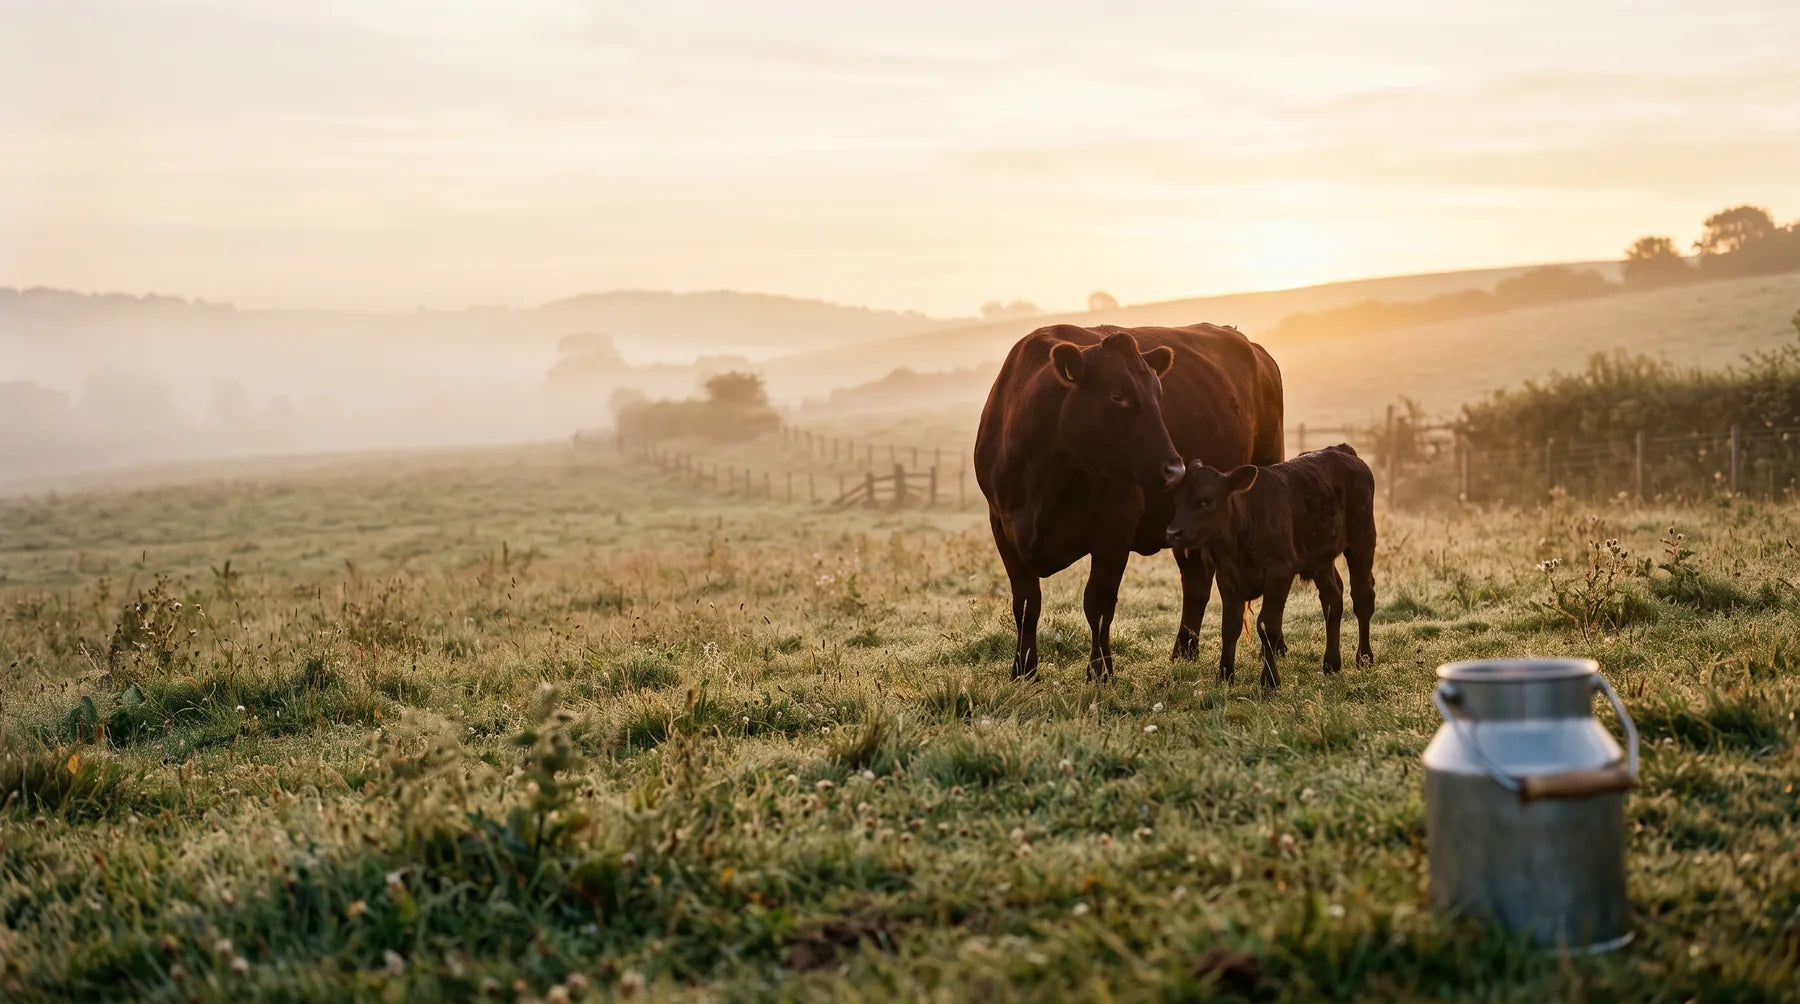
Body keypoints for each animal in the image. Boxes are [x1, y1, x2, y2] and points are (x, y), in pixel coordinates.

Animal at [974, 324, 1284, 680]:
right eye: (1116, 396)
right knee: (1195, 583)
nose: (1175, 469)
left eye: (1158, 396)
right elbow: (1026, 604)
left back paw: (1274, 646)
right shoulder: (1002, 528)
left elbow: (1098, 604)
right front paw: (1024, 671)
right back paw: (1183, 652)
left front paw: (1100, 672)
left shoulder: (1114, 532)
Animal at [1163, 444, 1376, 688]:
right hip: (1320, 557)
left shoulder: (1279, 574)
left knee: (1362, 597)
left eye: (1206, 500)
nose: (1172, 533)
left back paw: (1364, 657)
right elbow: (1230, 626)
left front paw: (1269, 680)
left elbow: (1268, 626)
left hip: (1362, 541)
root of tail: (1341, 450)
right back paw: (1331, 663)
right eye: (1177, 501)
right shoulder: (1227, 577)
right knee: (1332, 599)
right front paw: (1225, 675)